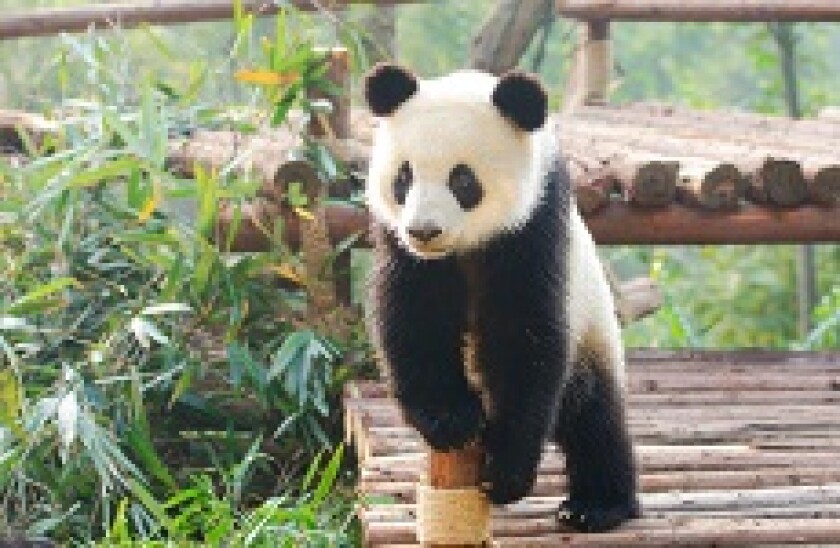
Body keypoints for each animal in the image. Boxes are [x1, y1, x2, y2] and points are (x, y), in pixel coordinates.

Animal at [363, 63, 639, 533]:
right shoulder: (401, 246)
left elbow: (523, 336)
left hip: (592, 326)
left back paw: (597, 505)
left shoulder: (535, 226)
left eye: (462, 179)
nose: (423, 231)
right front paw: (451, 419)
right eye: (403, 177)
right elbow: (416, 318)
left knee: (593, 414)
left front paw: (505, 472)